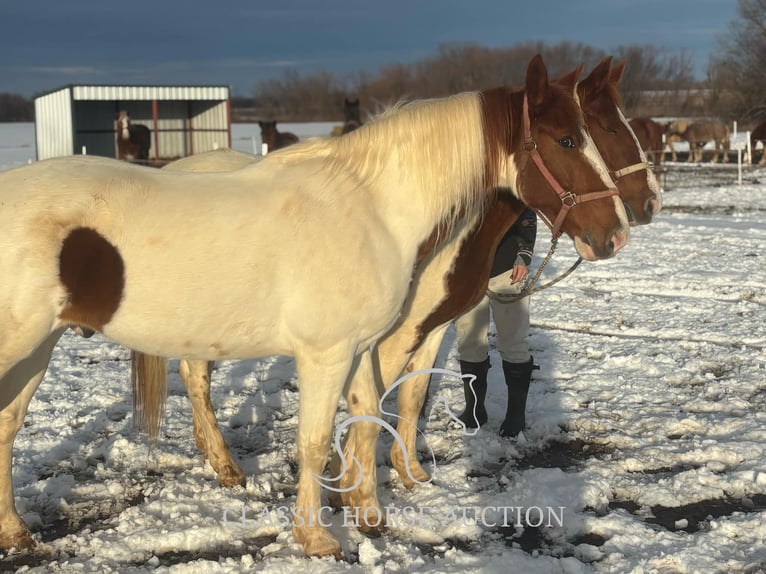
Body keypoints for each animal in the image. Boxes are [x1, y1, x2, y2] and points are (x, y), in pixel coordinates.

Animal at [0, 54, 632, 560]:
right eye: (568, 140)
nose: (617, 233)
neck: (372, 208)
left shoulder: (360, 348)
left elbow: (367, 418)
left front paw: (368, 513)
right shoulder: (326, 353)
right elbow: (315, 438)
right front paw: (318, 537)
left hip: (38, 349)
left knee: (7, 424)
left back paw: (18, 533)